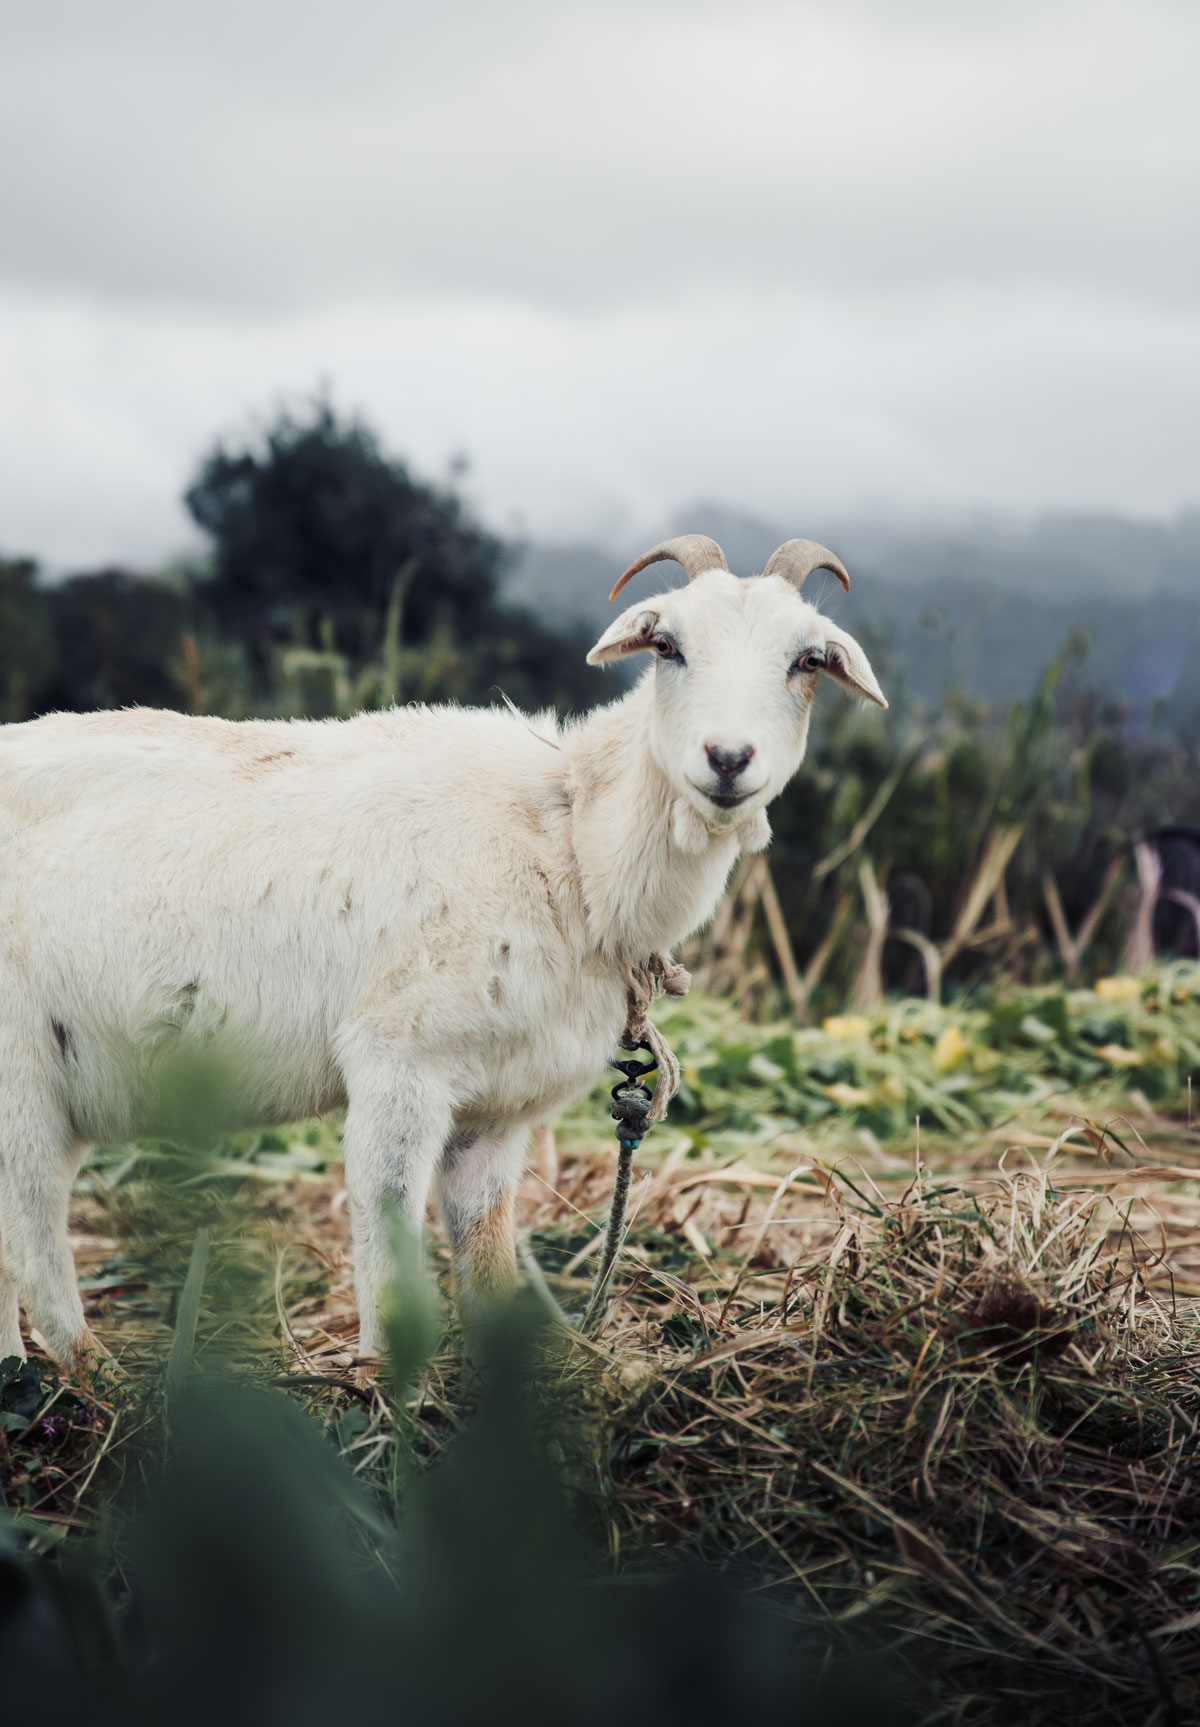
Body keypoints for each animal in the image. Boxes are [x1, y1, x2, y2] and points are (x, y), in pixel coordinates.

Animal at [0, 531, 884, 1367]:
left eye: (808, 659)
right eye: (667, 643)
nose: (728, 759)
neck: (569, 842)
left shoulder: (496, 1109)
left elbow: (486, 1253)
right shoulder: (398, 1060)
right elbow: (389, 1246)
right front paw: (383, 1391)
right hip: (21, 1072)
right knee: (37, 1247)